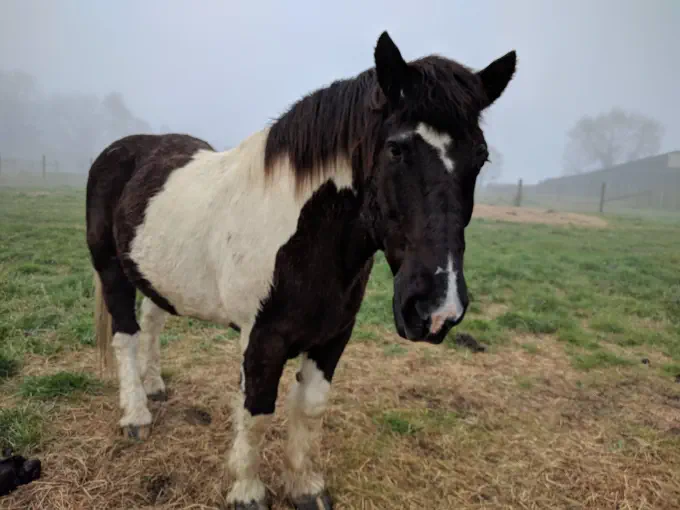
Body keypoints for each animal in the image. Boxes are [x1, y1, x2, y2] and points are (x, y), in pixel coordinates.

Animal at [86, 31, 517, 510]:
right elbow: (256, 413)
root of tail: (120, 151)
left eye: (480, 157)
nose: (437, 308)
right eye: (396, 148)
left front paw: (305, 486)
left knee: (153, 319)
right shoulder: (262, 339)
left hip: (156, 275)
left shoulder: (334, 336)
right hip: (111, 271)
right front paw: (247, 491)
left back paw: (155, 385)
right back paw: (136, 414)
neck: (304, 235)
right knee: (126, 335)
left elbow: (310, 408)